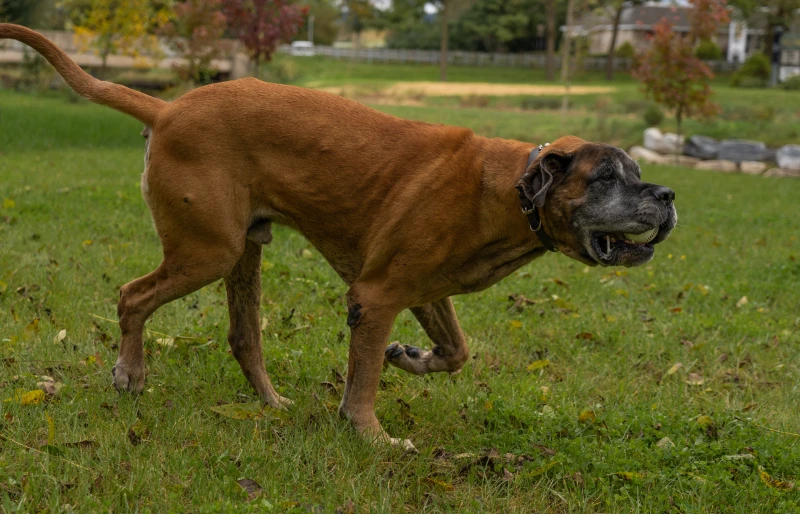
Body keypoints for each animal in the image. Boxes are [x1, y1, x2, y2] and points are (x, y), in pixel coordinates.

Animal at [3, 25, 676, 448]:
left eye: (637, 172)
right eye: (607, 176)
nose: (668, 196)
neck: (507, 190)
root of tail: (167, 108)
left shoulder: (423, 291)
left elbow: (456, 351)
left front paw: (410, 357)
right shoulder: (374, 298)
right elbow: (363, 386)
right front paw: (372, 437)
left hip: (241, 253)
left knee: (243, 338)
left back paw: (271, 404)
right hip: (207, 251)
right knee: (131, 297)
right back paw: (130, 374)